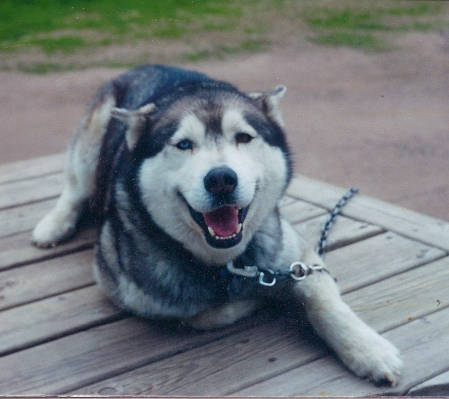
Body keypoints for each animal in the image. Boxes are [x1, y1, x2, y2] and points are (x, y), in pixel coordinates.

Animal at [32, 64, 402, 386]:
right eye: (183, 144)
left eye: (244, 137)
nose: (221, 179)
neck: (230, 260)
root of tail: (148, 65)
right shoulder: (127, 288)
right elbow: (211, 312)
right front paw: (253, 300)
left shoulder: (296, 254)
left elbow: (321, 296)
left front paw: (369, 349)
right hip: (91, 142)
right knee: (74, 188)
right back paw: (54, 225)